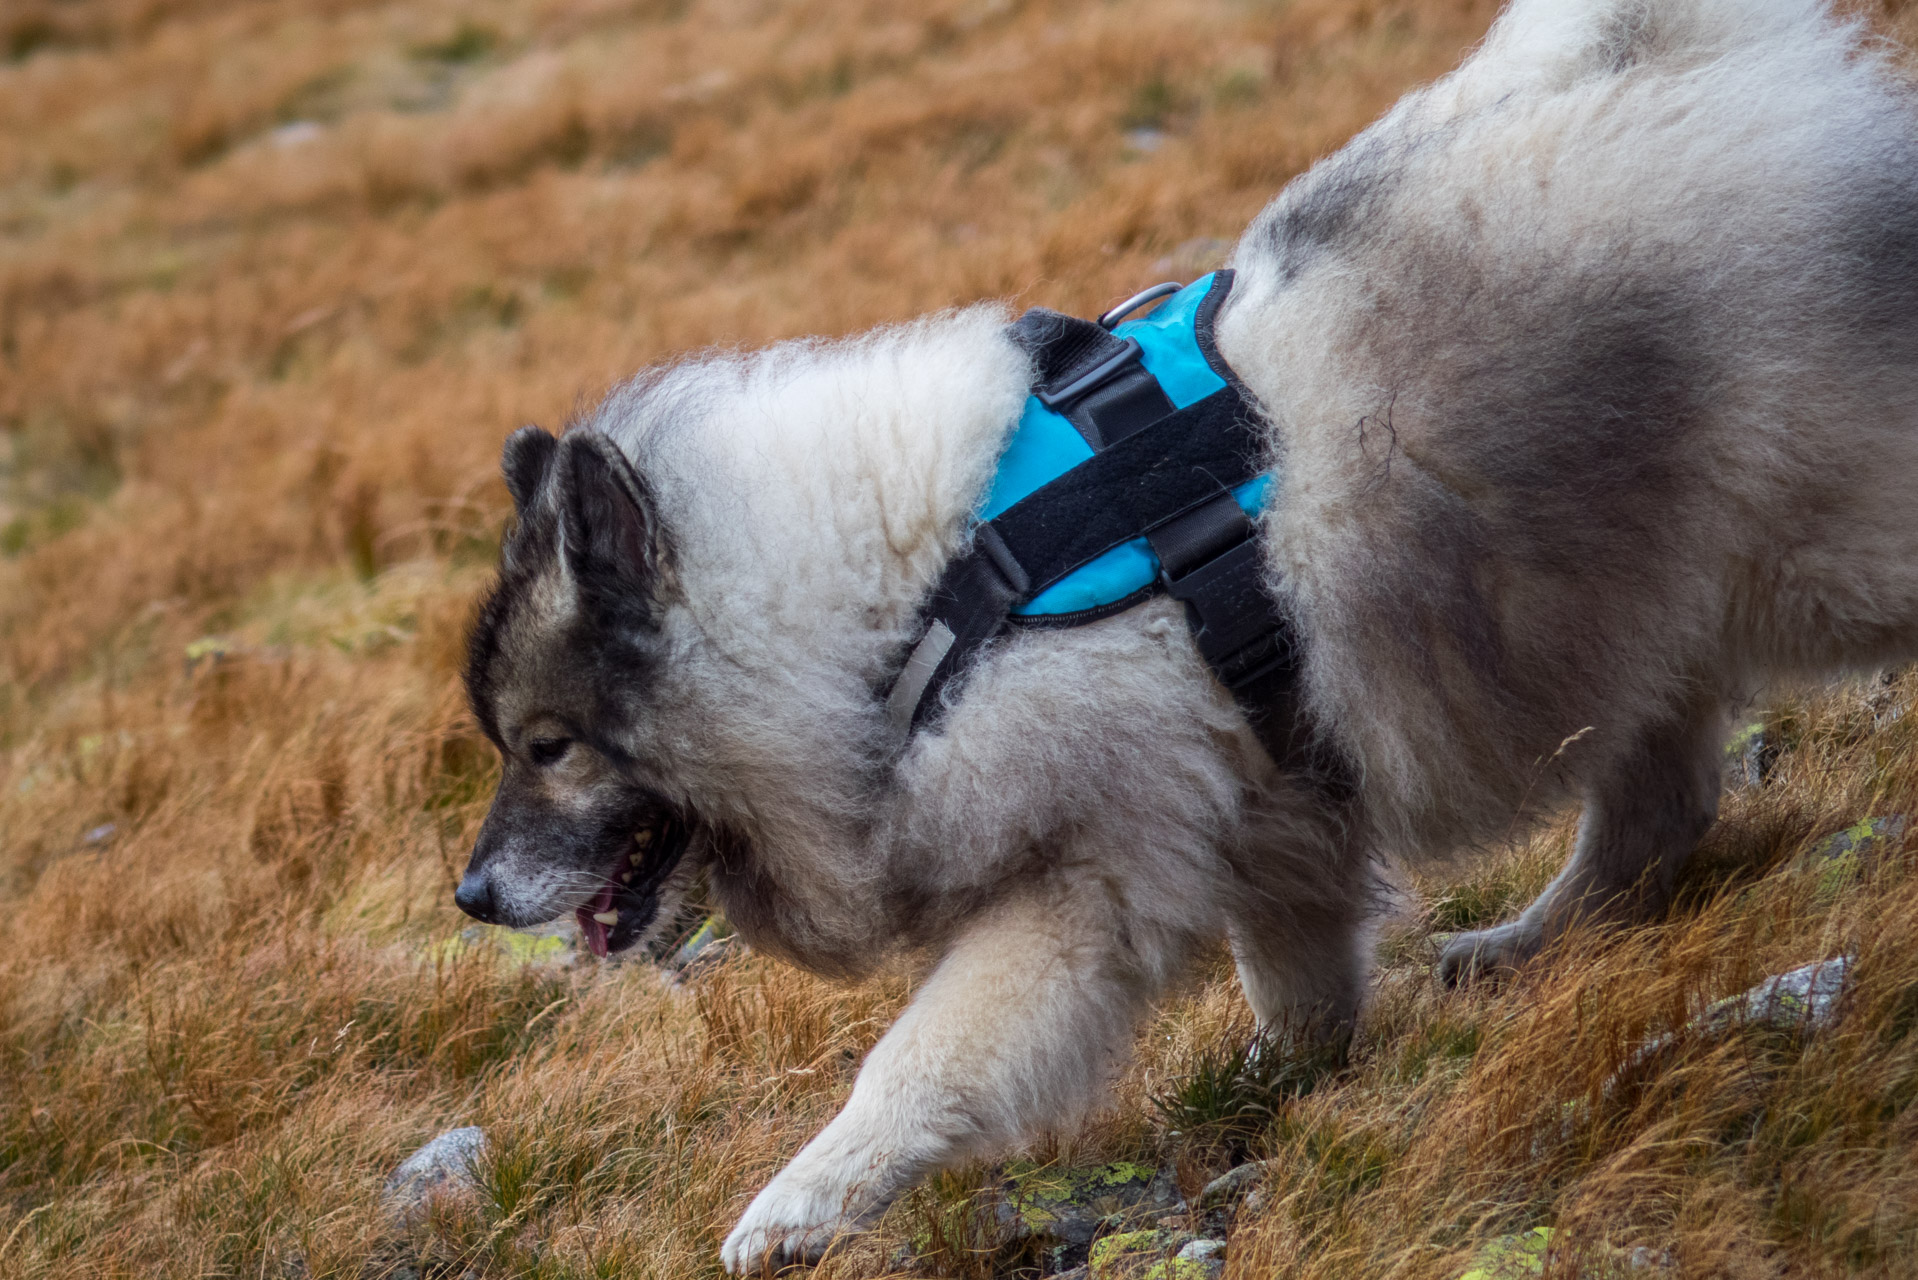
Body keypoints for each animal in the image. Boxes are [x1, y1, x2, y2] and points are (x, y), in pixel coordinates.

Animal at [452, 0, 1918, 1266]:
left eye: (549, 745)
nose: (468, 897)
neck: (920, 609)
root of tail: (1713, 62)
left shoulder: (1078, 887)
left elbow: (917, 1059)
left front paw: (800, 1202)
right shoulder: (1268, 812)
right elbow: (1297, 978)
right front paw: (1279, 1086)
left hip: (1802, 556)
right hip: (1607, 605)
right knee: (1654, 813)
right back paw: (1525, 943)